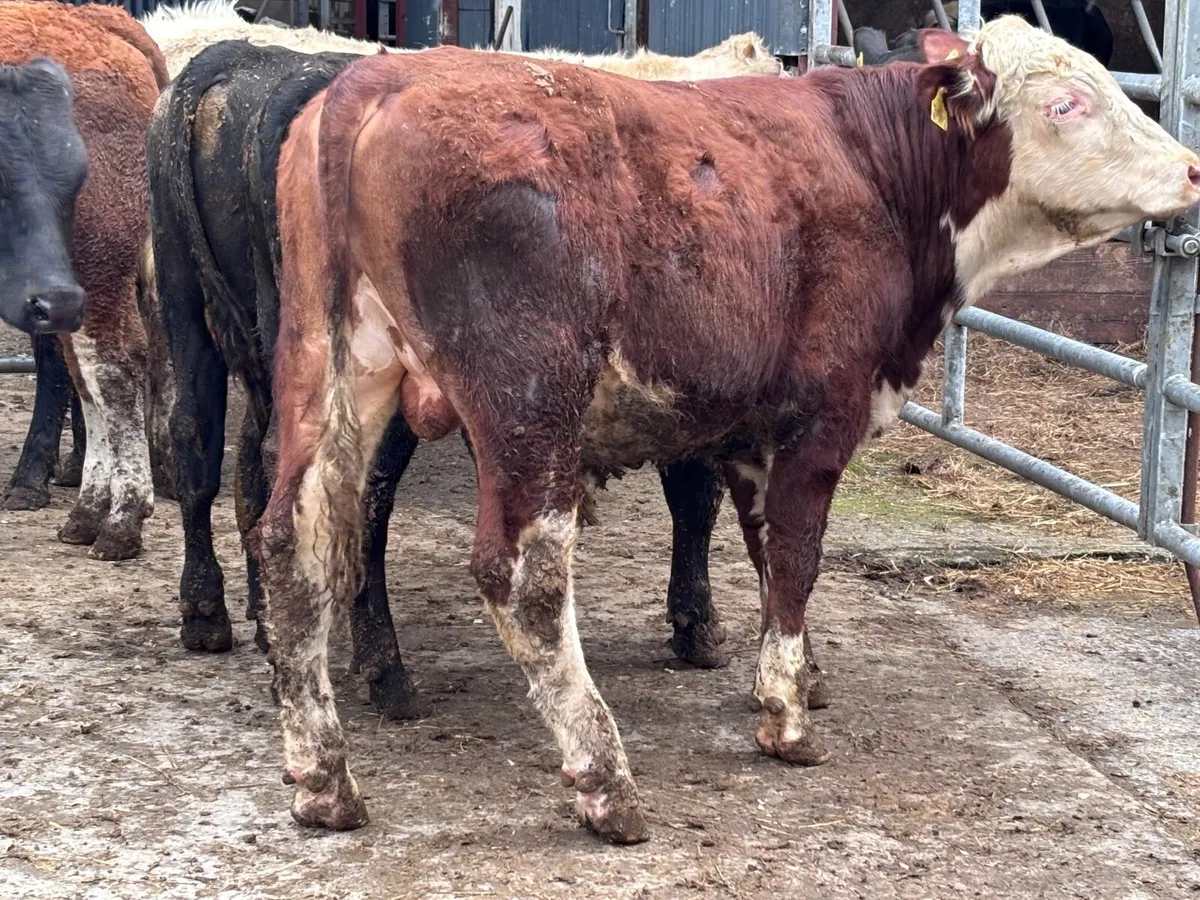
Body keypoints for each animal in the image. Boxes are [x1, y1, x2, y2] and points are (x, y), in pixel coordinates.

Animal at [0, 1, 168, 560]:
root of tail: (98, 20)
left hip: (95, 265)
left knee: (113, 366)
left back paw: (120, 519)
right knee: (85, 371)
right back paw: (88, 511)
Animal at [146, 12, 783, 715]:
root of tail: (242, 59)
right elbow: (697, 497)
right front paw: (700, 626)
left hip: (196, 312)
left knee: (210, 449)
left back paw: (227, 618)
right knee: (349, 491)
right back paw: (382, 668)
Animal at [254, 18, 1200, 841]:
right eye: (1067, 104)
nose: (1192, 169)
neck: (878, 170)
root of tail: (376, 82)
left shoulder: (753, 434)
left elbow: (765, 549)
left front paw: (800, 675)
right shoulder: (824, 412)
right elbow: (799, 552)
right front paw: (786, 717)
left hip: (327, 368)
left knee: (293, 543)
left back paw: (323, 782)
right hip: (528, 399)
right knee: (523, 577)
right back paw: (605, 781)